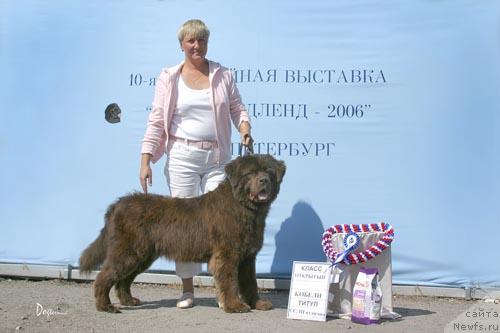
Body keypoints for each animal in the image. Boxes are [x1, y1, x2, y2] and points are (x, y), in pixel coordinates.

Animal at [79, 154, 286, 312]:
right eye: (250, 173)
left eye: (269, 171)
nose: (263, 180)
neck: (243, 207)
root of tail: (118, 204)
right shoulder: (227, 255)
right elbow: (229, 282)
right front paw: (235, 306)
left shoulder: (247, 257)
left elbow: (251, 282)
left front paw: (258, 303)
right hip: (128, 252)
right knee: (104, 277)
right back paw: (105, 306)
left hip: (141, 256)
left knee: (123, 281)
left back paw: (129, 301)